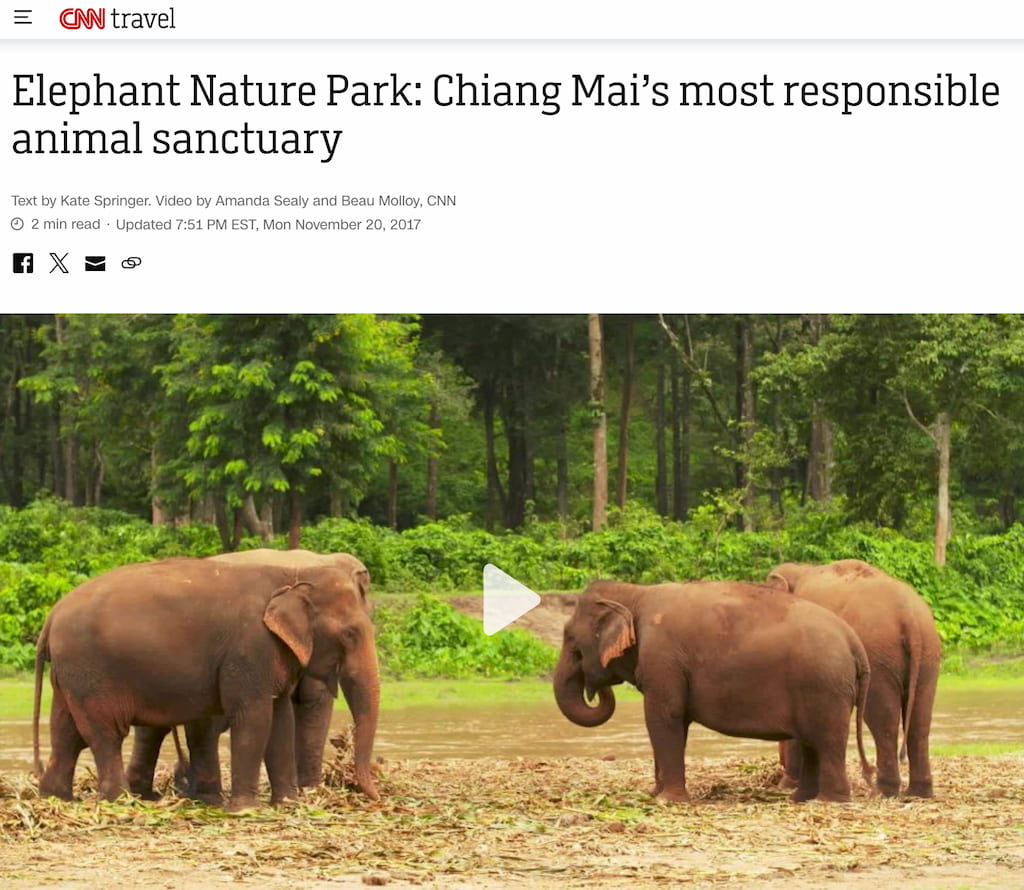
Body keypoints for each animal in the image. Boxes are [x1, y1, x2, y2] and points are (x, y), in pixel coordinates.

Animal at [554, 580, 872, 803]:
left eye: (571, 639)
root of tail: (854, 642)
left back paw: (829, 801)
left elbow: (663, 717)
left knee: (827, 740)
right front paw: (654, 794)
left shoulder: (662, 658)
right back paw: (800, 799)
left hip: (825, 687)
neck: (636, 593)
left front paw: (667, 800)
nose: (595, 688)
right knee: (812, 742)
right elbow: (674, 723)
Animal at [766, 559, 941, 798]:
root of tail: (909, 617)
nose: (778, 773)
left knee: (883, 720)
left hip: (878, 657)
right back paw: (917, 792)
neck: (802, 568)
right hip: (928, 656)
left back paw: (882, 791)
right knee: (920, 721)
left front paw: (788, 785)